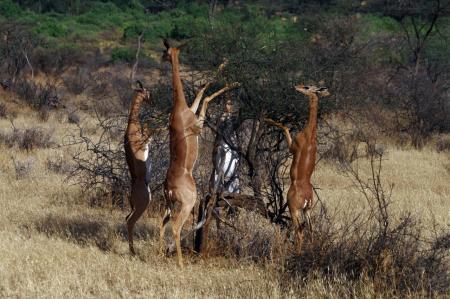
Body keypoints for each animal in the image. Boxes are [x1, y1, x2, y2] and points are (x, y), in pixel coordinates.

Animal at [161, 39, 239, 268]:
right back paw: (180, 264)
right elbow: (206, 98)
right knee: (176, 227)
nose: (163, 57)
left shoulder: (194, 109)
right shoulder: (199, 123)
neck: (179, 109)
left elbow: (201, 91)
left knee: (162, 223)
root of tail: (168, 187)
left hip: (170, 205)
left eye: (166, 51)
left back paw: (159, 254)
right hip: (187, 204)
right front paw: (233, 83)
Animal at [264, 84, 330, 255]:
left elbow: (285, 127)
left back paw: (296, 253)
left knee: (299, 231)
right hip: (307, 211)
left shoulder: (292, 147)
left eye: (307, 87)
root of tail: (306, 196)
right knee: (311, 230)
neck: (309, 135)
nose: (297, 86)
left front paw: (267, 119)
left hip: (295, 210)